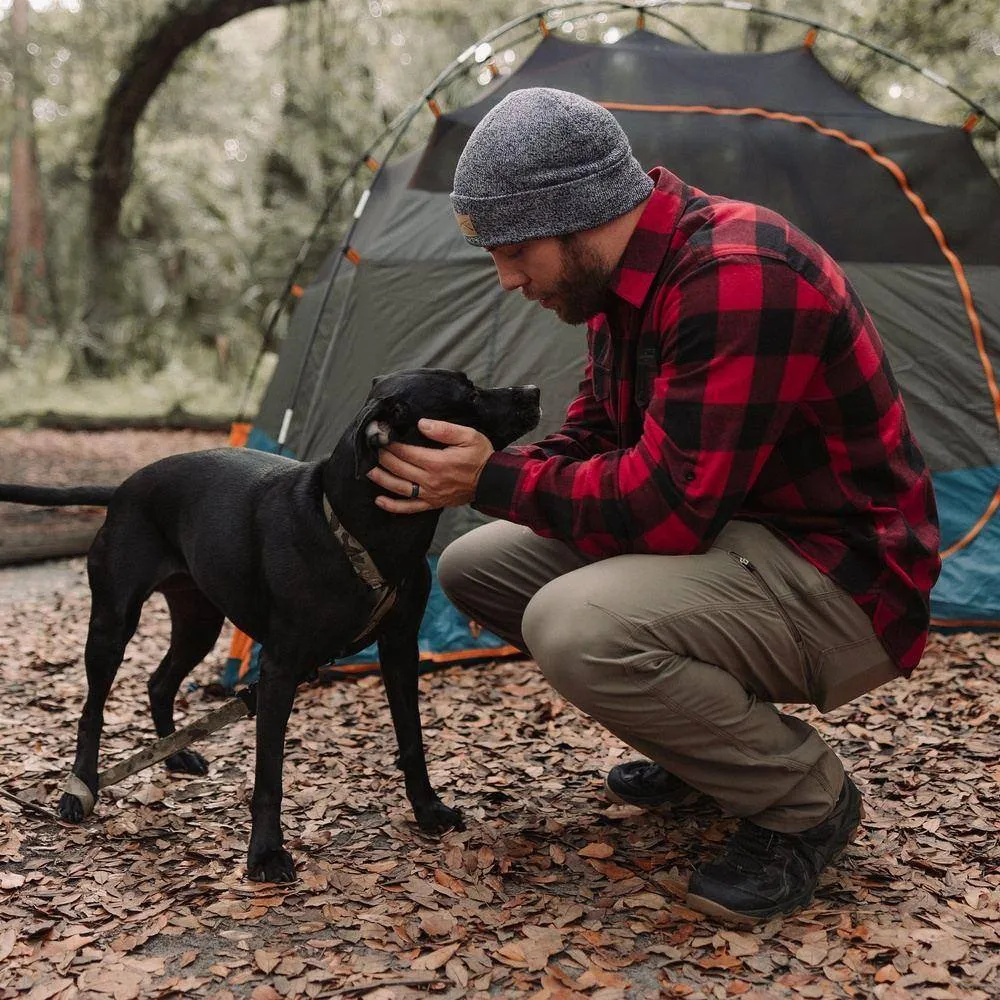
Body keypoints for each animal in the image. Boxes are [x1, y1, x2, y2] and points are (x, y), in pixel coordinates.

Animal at [0, 372, 544, 880]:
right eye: (467, 393)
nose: (534, 391)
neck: (358, 529)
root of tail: (124, 488)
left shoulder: (399, 648)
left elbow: (412, 740)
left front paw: (428, 811)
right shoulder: (279, 670)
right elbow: (269, 778)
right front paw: (264, 854)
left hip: (199, 622)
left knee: (159, 681)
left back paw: (176, 756)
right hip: (113, 624)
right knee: (91, 709)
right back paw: (80, 790)